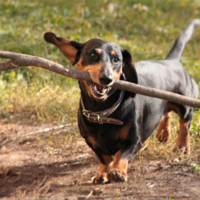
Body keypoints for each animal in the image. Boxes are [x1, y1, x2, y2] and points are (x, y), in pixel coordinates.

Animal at [44, 19, 199, 184]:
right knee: (166, 112)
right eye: (92, 54)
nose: (106, 78)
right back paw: (163, 134)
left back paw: (182, 146)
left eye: (116, 59)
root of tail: (171, 61)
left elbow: (121, 155)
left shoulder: (134, 141)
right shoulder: (92, 142)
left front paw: (117, 171)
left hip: (185, 103)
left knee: (185, 123)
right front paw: (103, 174)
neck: (102, 111)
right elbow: (104, 158)